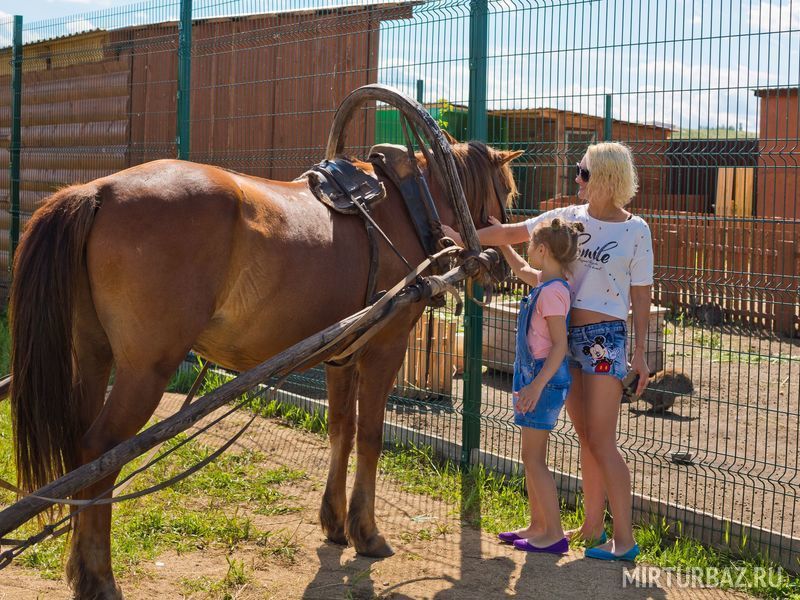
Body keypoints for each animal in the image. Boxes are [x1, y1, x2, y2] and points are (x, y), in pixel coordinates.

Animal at [10, 140, 521, 599]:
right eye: (509, 193)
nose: (501, 266)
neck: (408, 203)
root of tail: (98, 189)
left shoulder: (342, 354)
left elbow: (341, 429)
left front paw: (335, 522)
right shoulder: (384, 348)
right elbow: (371, 437)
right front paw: (367, 533)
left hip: (93, 356)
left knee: (81, 453)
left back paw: (78, 566)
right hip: (145, 370)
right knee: (102, 453)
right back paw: (99, 579)